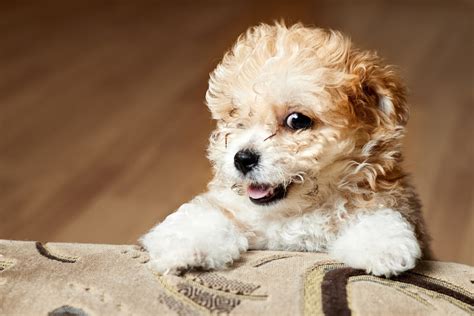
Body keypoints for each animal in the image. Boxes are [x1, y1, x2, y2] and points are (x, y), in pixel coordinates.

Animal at [140, 22, 430, 276]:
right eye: (236, 117)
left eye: (297, 120)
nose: (242, 159)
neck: (295, 212)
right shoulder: (237, 210)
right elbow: (208, 214)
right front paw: (181, 245)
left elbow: (376, 214)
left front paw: (382, 246)